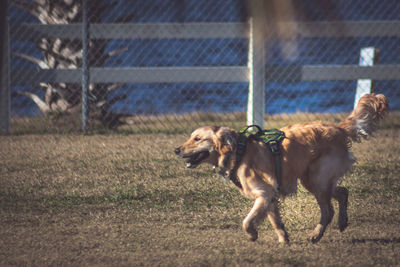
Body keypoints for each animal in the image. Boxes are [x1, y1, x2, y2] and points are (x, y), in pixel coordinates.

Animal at [175, 94, 388, 245]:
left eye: (197, 139)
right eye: (190, 137)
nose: (176, 149)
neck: (239, 152)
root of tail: (338, 128)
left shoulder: (264, 193)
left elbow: (246, 221)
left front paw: (252, 234)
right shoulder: (270, 196)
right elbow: (275, 221)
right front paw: (283, 239)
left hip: (317, 180)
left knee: (328, 211)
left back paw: (316, 234)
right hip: (314, 180)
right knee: (343, 192)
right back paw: (342, 222)